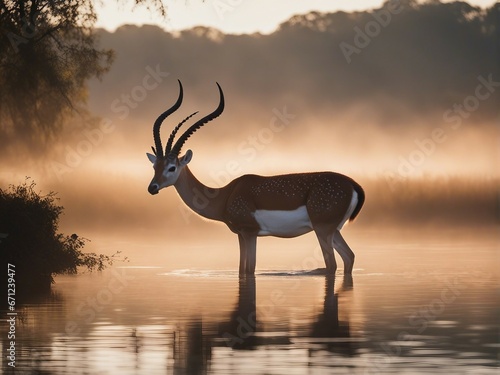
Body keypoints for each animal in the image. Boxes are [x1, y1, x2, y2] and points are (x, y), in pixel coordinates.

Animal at [146, 81, 366, 276]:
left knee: (332, 265)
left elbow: (249, 270)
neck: (225, 195)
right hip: (333, 231)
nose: (152, 187)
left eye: (172, 167)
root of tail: (353, 185)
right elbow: (242, 270)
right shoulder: (241, 235)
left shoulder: (250, 233)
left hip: (322, 230)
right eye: (155, 166)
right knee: (349, 257)